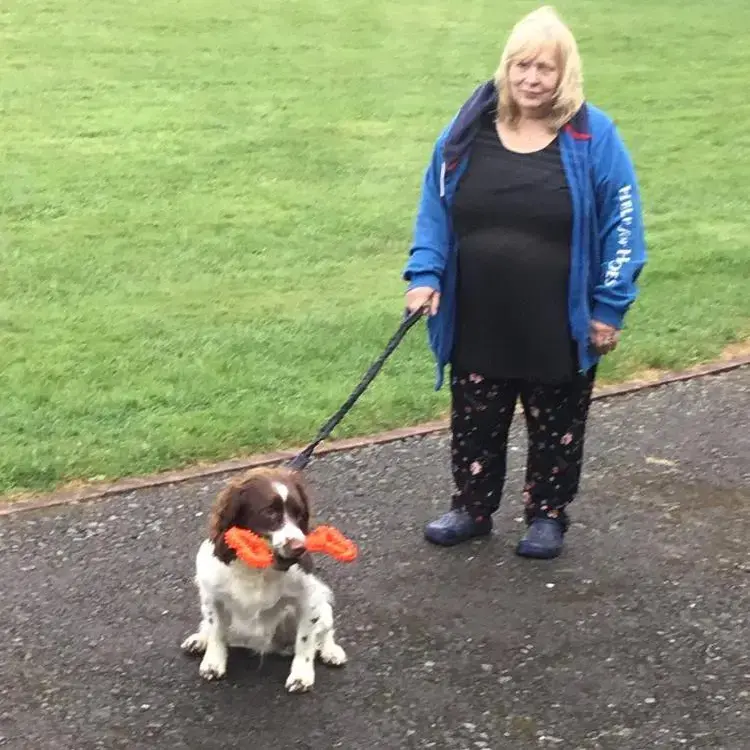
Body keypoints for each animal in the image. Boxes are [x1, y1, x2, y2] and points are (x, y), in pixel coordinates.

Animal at [181, 468, 348, 696]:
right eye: (269, 512)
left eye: (299, 514)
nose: (300, 549)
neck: (257, 569)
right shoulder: (211, 596)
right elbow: (216, 630)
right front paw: (213, 664)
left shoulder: (309, 599)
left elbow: (306, 641)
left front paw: (301, 676)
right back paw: (199, 639)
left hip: (319, 608)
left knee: (325, 630)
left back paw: (331, 651)